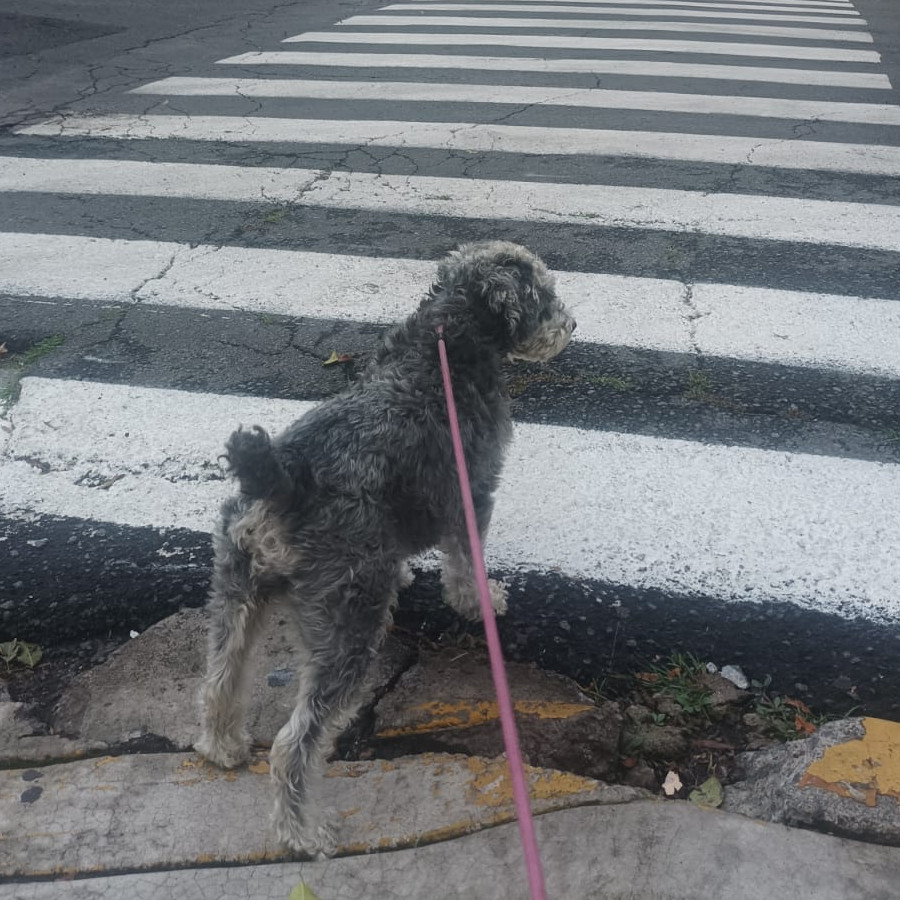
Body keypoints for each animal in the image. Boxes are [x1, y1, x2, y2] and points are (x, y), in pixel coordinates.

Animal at [196, 241, 576, 856]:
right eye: (543, 293)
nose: (571, 325)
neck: (445, 339)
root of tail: (282, 481)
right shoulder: (471, 494)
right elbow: (465, 565)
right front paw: (481, 602)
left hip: (235, 591)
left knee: (219, 680)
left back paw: (221, 746)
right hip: (347, 628)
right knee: (293, 744)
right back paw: (302, 833)